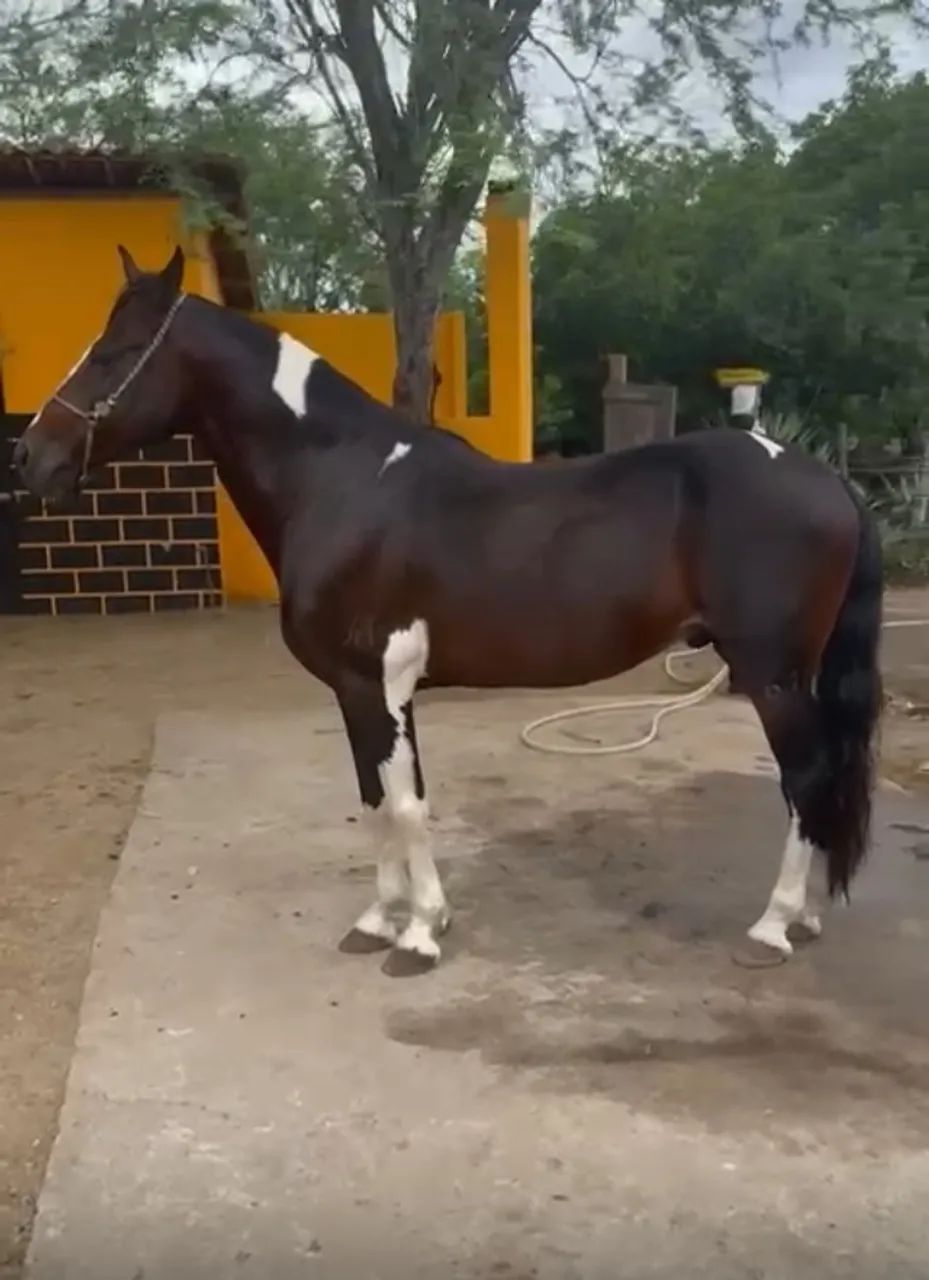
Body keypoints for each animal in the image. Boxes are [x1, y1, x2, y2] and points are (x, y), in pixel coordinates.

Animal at [14, 246, 884, 976]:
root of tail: (825, 477)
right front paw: (379, 920)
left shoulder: (373, 683)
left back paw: (772, 927)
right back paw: (804, 917)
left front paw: (419, 934)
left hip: (771, 675)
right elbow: (379, 801)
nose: (29, 456)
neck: (340, 480)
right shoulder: (368, 692)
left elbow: (402, 805)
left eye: (114, 352)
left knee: (805, 779)